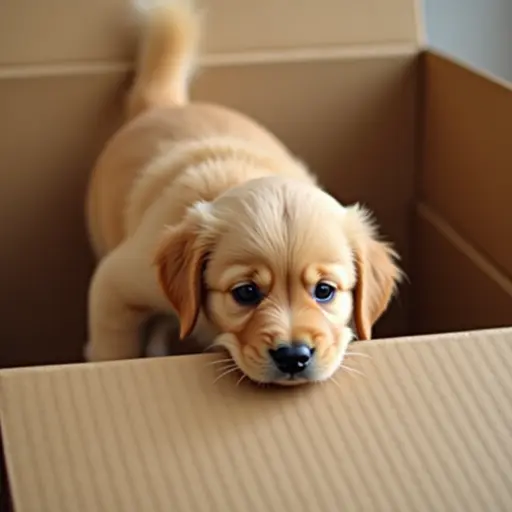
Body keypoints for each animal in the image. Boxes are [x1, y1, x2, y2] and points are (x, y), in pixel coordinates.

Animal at [84, 0, 400, 384]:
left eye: (324, 291)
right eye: (246, 292)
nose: (294, 357)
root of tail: (163, 105)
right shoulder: (117, 284)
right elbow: (113, 348)